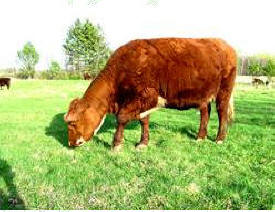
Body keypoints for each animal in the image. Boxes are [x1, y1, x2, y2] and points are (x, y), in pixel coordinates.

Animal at [64, 38, 237, 151]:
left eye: (72, 123)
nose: (70, 143)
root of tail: (225, 44)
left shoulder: (146, 96)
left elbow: (121, 118)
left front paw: (116, 145)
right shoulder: (142, 102)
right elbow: (144, 121)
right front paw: (143, 143)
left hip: (224, 91)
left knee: (221, 112)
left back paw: (219, 139)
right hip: (203, 95)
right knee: (205, 112)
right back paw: (200, 137)